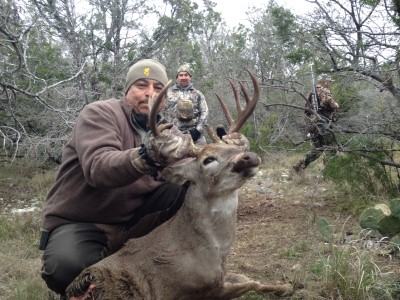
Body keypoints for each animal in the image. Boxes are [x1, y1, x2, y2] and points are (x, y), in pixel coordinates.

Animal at [65, 71, 294, 300]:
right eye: (208, 160)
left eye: (234, 148)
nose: (249, 157)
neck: (211, 250)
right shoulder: (198, 289)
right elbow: (249, 283)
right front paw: (286, 286)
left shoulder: (223, 274)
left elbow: (248, 278)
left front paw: (285, 285)